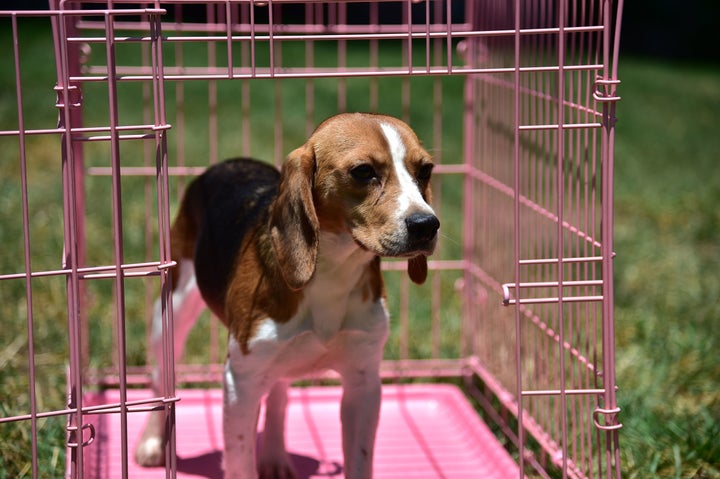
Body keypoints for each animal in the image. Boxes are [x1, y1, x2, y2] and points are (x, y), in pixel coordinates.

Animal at [134, 113, 438, 479]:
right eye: (363, 171)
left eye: (425, 170)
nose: (427, 225)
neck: (334, 272)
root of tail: (229, 162)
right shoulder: (240, 383)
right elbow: (240, 464)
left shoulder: (364, 384)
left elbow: (359, 460)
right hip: (170, 317)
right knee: (160, 379)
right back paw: (152, 442)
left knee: (278, 395)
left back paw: (275, 455)